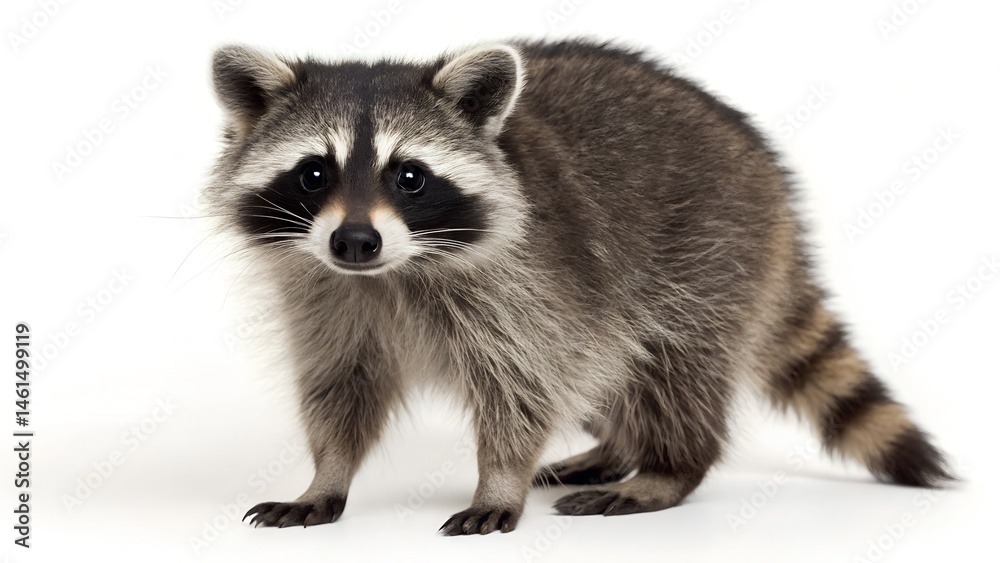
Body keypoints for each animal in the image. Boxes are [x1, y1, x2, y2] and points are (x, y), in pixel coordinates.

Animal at [205, 40, 951, 535]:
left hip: (710, 253)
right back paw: (617, 448)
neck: (391, 272)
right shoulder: (327, 295)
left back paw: (668, 466)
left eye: (409, 176)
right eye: (314, 174)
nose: (355, 241)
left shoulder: (528, 285)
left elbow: (523, 387)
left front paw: (498, 480)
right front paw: (327, 473)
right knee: (607, 374)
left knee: (673, 369)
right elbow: (340, 388)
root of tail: (770, 175)